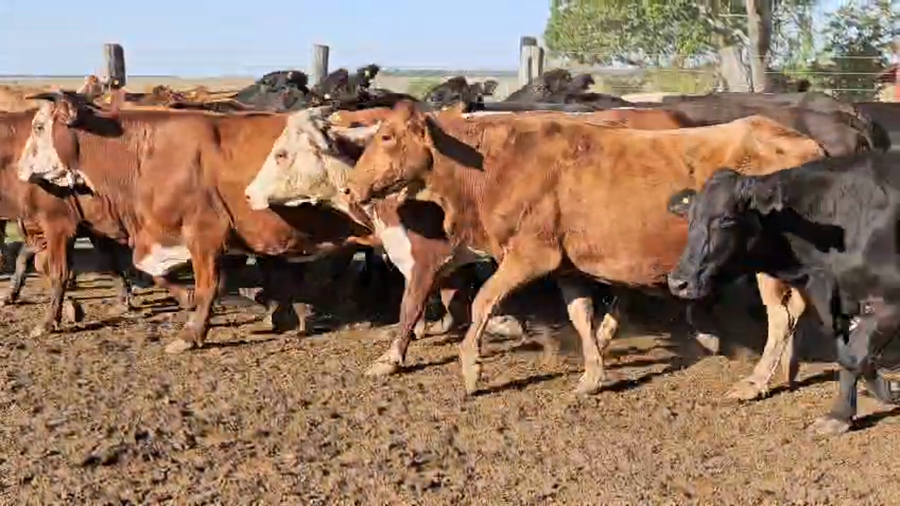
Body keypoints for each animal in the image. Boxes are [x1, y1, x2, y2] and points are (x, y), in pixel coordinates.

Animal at [18, 92, 377, 353]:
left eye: (38, 127)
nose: (20, 169)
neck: (148, 154)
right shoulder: (162, 236)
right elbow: (150, 270)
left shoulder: (205, 235)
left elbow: (208, 286)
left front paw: (191, 334)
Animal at [665, 152, 900, 435]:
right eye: (689, 217)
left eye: (726, 219)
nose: (678, 282)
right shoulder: (834, 303)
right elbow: (849, 353)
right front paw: (847, 412)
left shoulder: (889, 301)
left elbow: (855, 354)